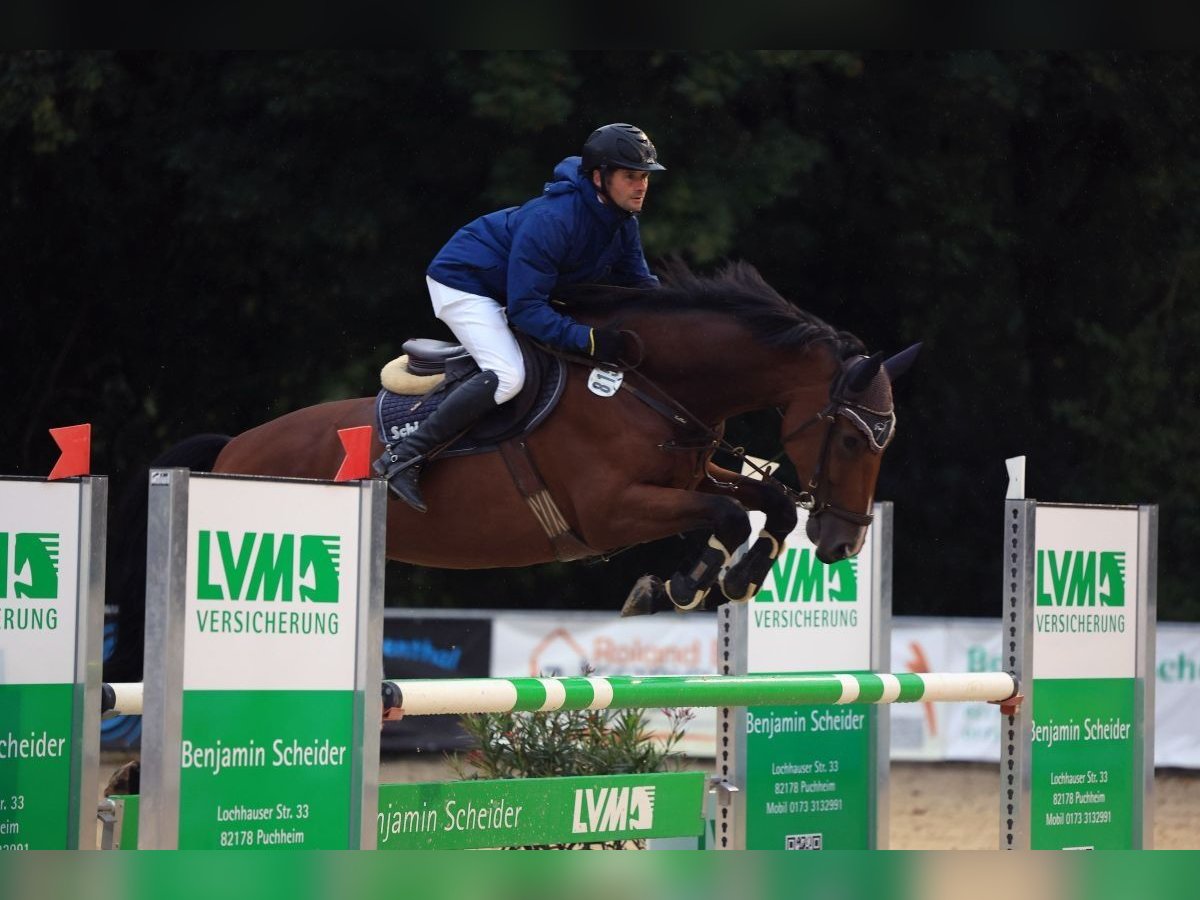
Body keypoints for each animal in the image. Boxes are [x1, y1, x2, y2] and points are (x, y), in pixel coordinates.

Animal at [103, 264, 912, 681]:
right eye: (850, 440)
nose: (841, 545)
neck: (649, 383)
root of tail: (232, 451)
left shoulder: (690, 476)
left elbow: (769, 499)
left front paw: (733, 577)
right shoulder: (612, 509)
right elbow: (727, 515)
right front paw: (681, 585)